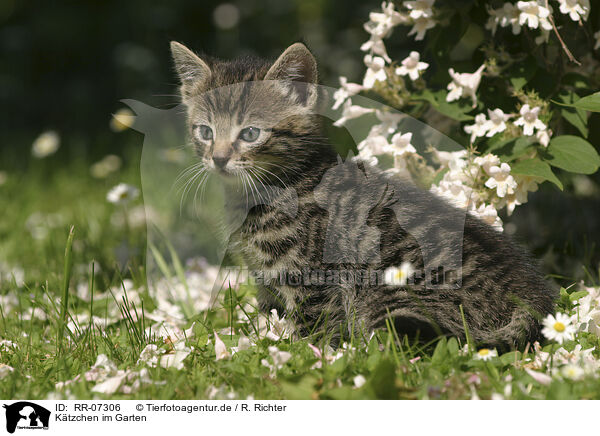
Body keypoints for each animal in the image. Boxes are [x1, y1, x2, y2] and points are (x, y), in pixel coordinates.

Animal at [168, 42, 552, 350]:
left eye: (249, 133)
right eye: (205, 132)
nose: (218, 158)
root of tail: (533, 295)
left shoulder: (313, 275)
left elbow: (316, 326)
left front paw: (308, 357)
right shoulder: (264, 277)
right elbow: (271, 314)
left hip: (392, 291)